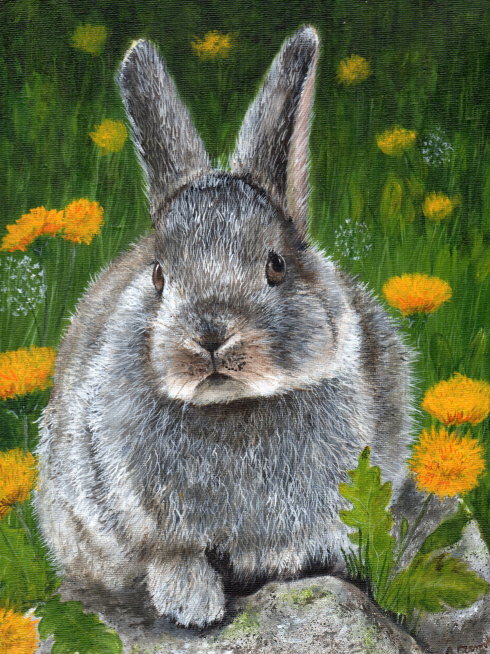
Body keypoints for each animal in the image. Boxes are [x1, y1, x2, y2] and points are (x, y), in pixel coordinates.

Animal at [34, 26, 415, 629]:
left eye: (276, 264)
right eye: (159, 275)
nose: (210, 337)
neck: (231, 408)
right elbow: (171, 554)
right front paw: (190, 601)